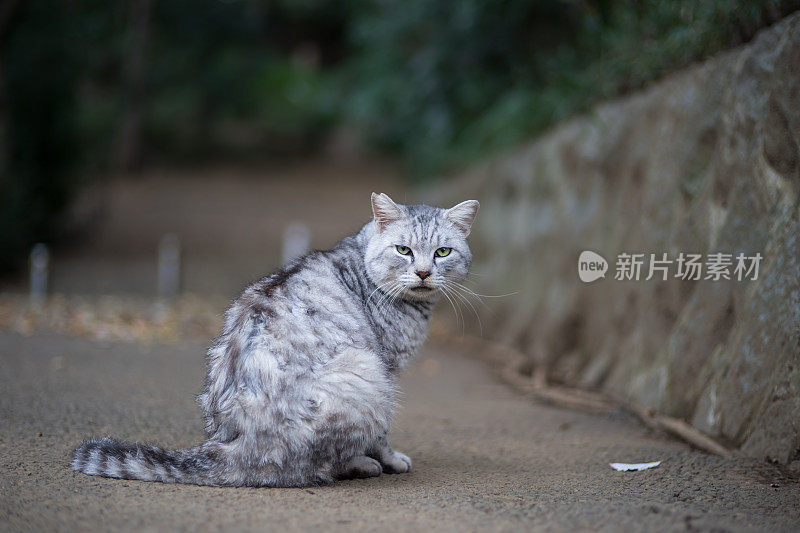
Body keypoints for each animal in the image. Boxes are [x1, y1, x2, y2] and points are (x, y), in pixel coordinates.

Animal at [72, 192, 478, 486]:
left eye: (442, 252)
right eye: (403, 250)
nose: (423, 272)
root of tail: (226, 446)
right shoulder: (387, 368)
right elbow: (383, 433)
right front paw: (391, 459)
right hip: (365, 373)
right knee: (308, 468)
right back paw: (361, 464)